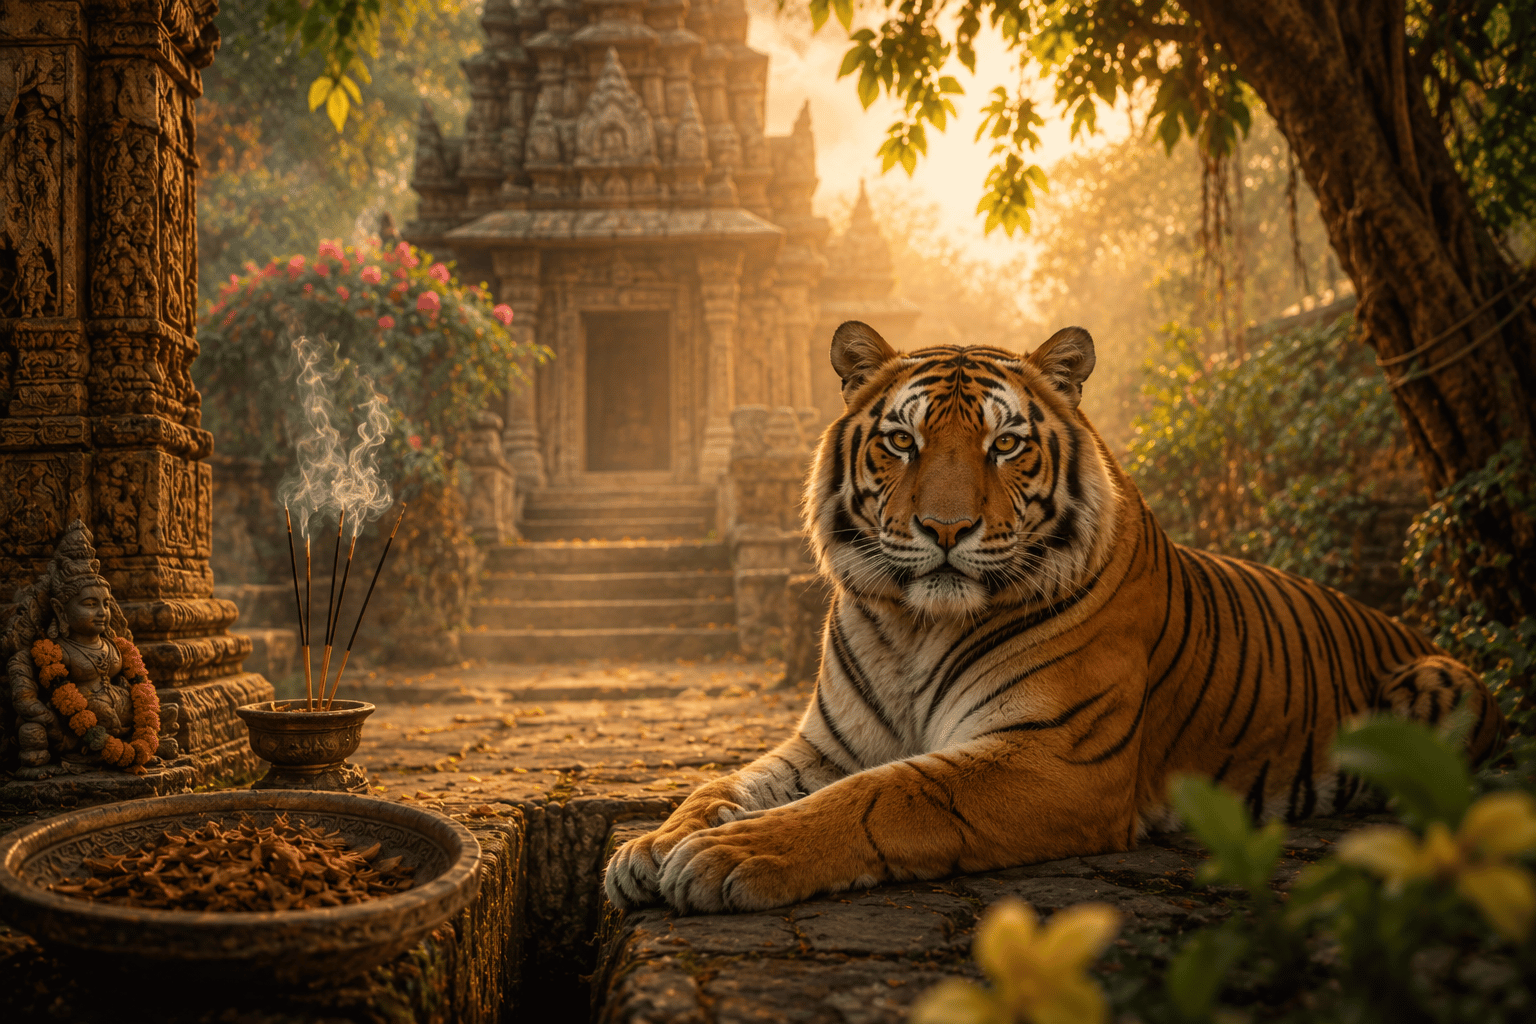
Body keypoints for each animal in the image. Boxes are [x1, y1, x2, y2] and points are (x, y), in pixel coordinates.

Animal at [604, 320, 1504, 915]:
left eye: (1005, 445)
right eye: (902, 442)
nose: (945, 530)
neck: (912, 629)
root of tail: (1405, 624)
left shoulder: (1057, 758)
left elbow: (883, 795)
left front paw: (728, 854)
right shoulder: (827, 746)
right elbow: (720, 783)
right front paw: (650, 847)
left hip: (1444, 682)